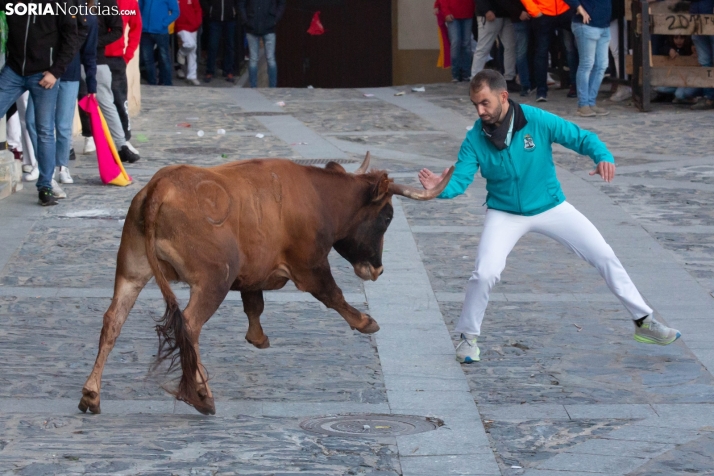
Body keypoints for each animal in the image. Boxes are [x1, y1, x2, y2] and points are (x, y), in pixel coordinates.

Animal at [78, 154, 454, 414]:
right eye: (387, 216)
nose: (377, 270)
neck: (317, 195)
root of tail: (162, 186)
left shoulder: (253, 271)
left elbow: (254, 303)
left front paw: (257, 337)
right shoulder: (310, 264)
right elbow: (332, 294)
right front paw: (365, 321)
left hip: (131, 272)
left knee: (113, 322)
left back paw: (91, 394)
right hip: (213, 280)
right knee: (189, 325)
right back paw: (202, 395)